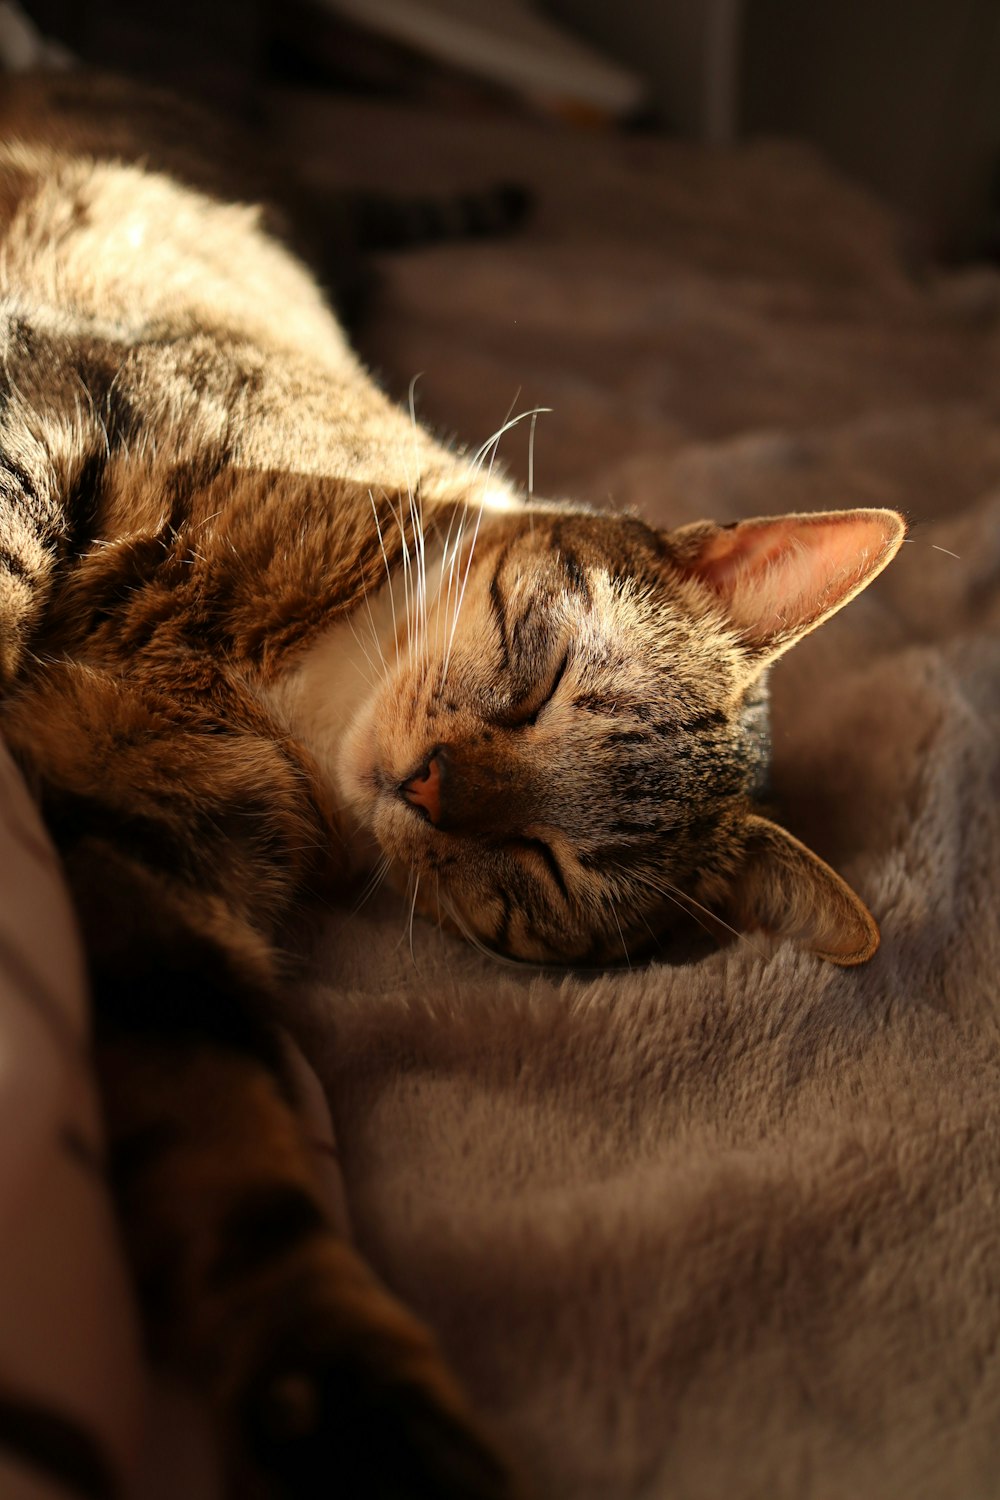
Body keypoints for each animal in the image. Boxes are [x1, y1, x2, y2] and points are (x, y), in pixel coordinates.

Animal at [0, 76, 905, 1500]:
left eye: (545, 869)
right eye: (543, 679)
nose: (430, 789)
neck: (291, 701)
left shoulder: (157, 868)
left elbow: (240, 1164)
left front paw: (373, 1422)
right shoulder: (63, 399)